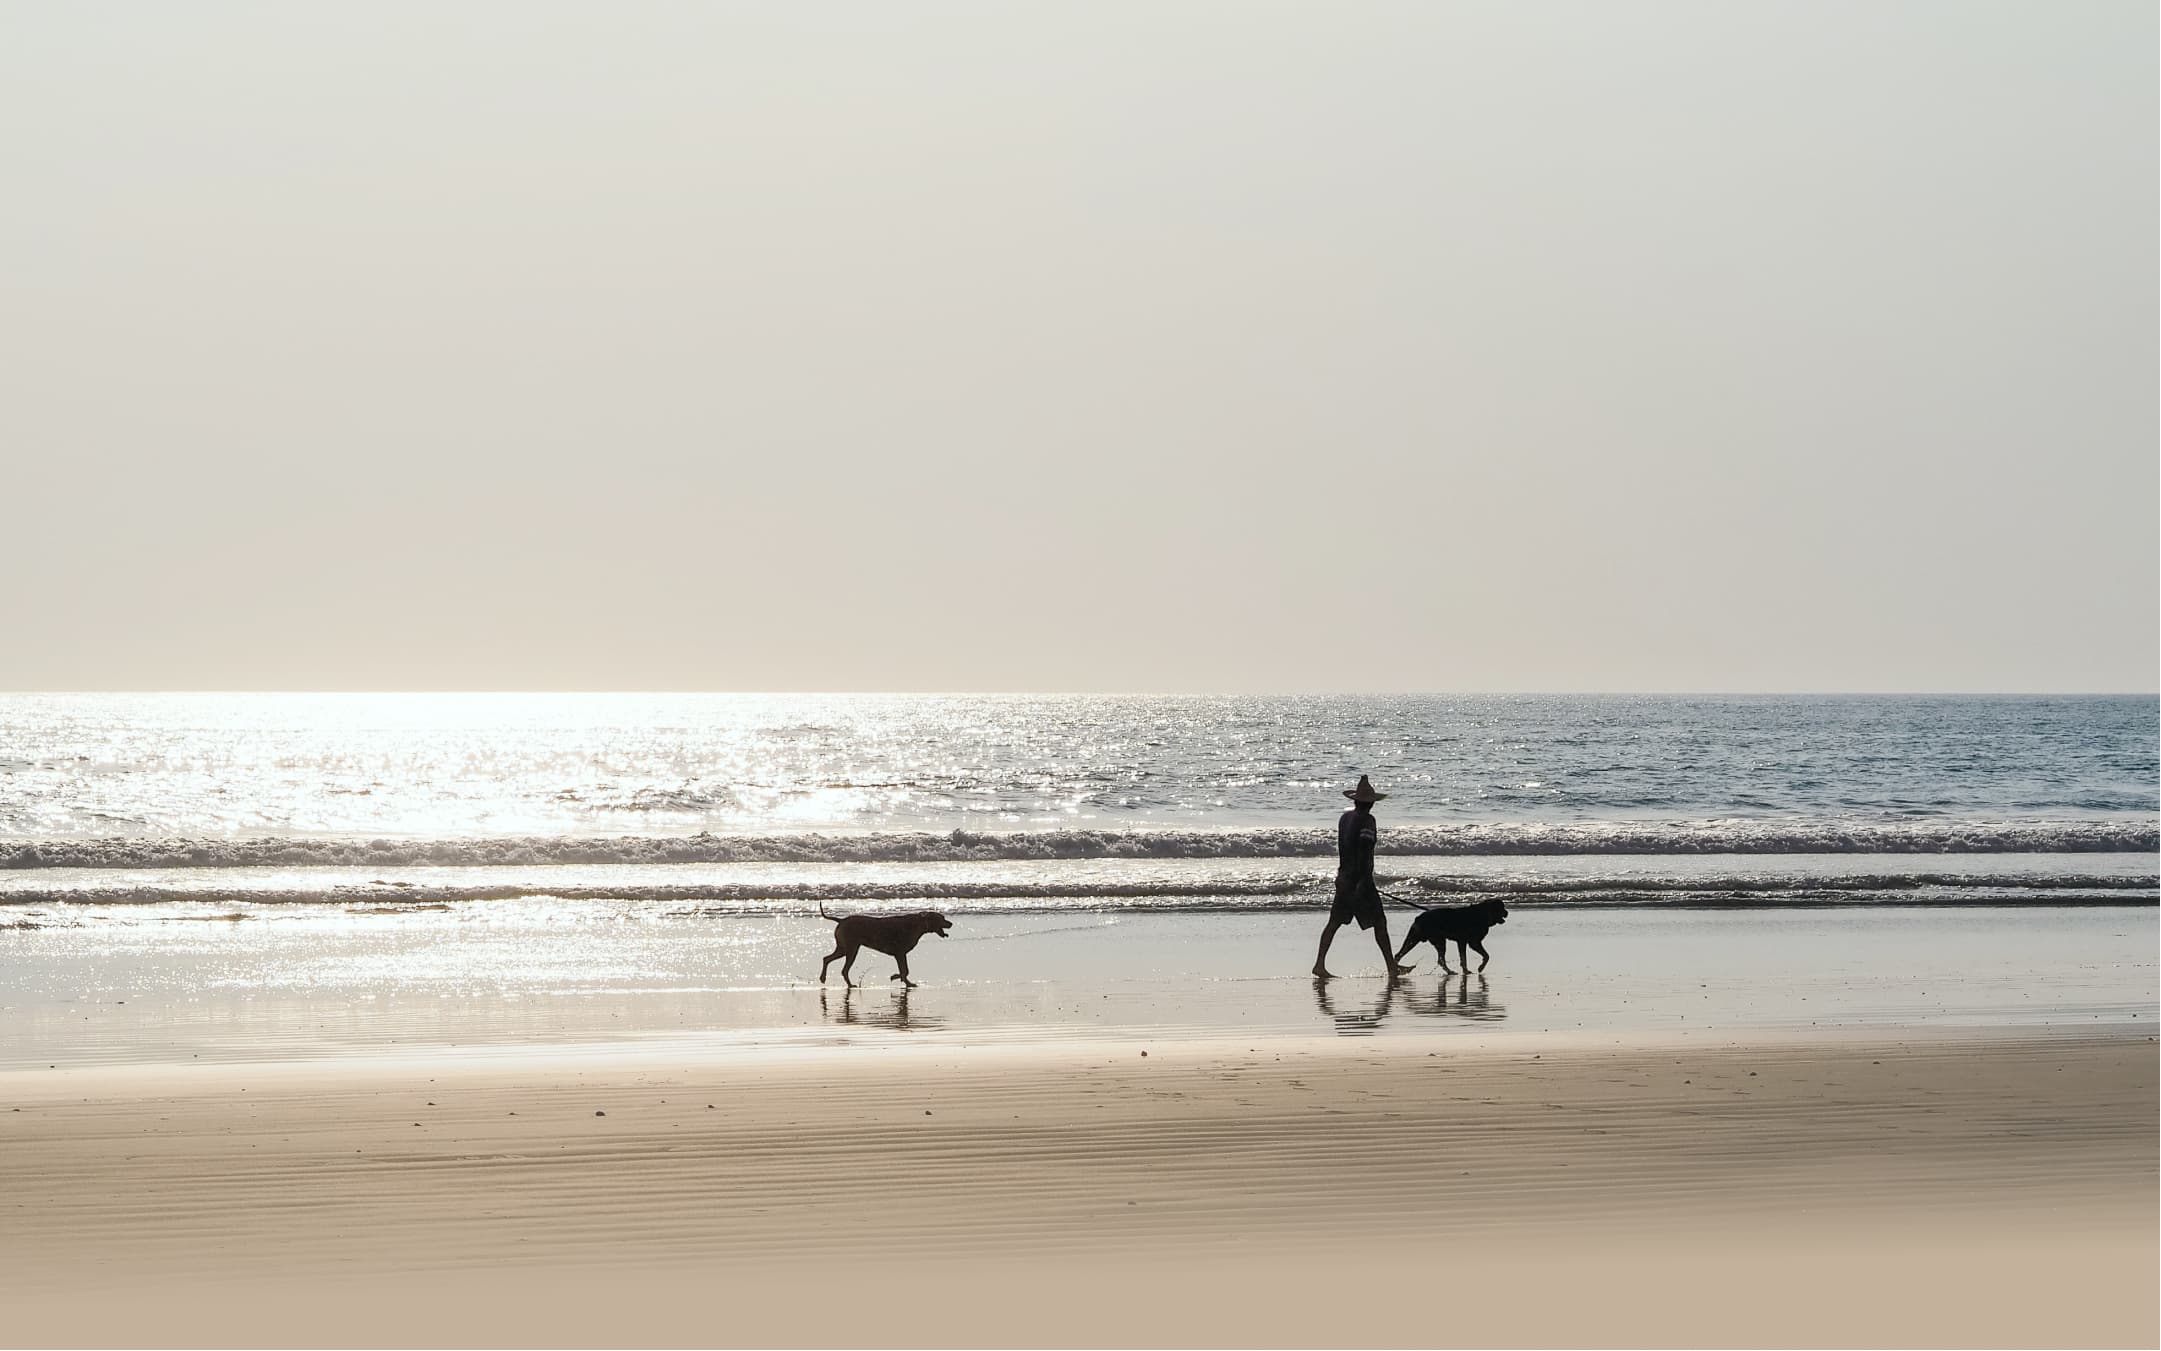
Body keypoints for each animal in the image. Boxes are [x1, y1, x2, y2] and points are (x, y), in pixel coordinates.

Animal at [812, 899, 950, 985]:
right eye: (942, 918)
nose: (951, 923)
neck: (919, 924)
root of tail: (841, 920)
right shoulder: (900, 953)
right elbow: (904, 971)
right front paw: (903, 980)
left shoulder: (901, 954)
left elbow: (904, 971)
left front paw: (901, 979)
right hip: (850, 949)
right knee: (843, 969)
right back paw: (848, 984)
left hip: (843, 948)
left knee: (827, 959)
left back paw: (825, 978)